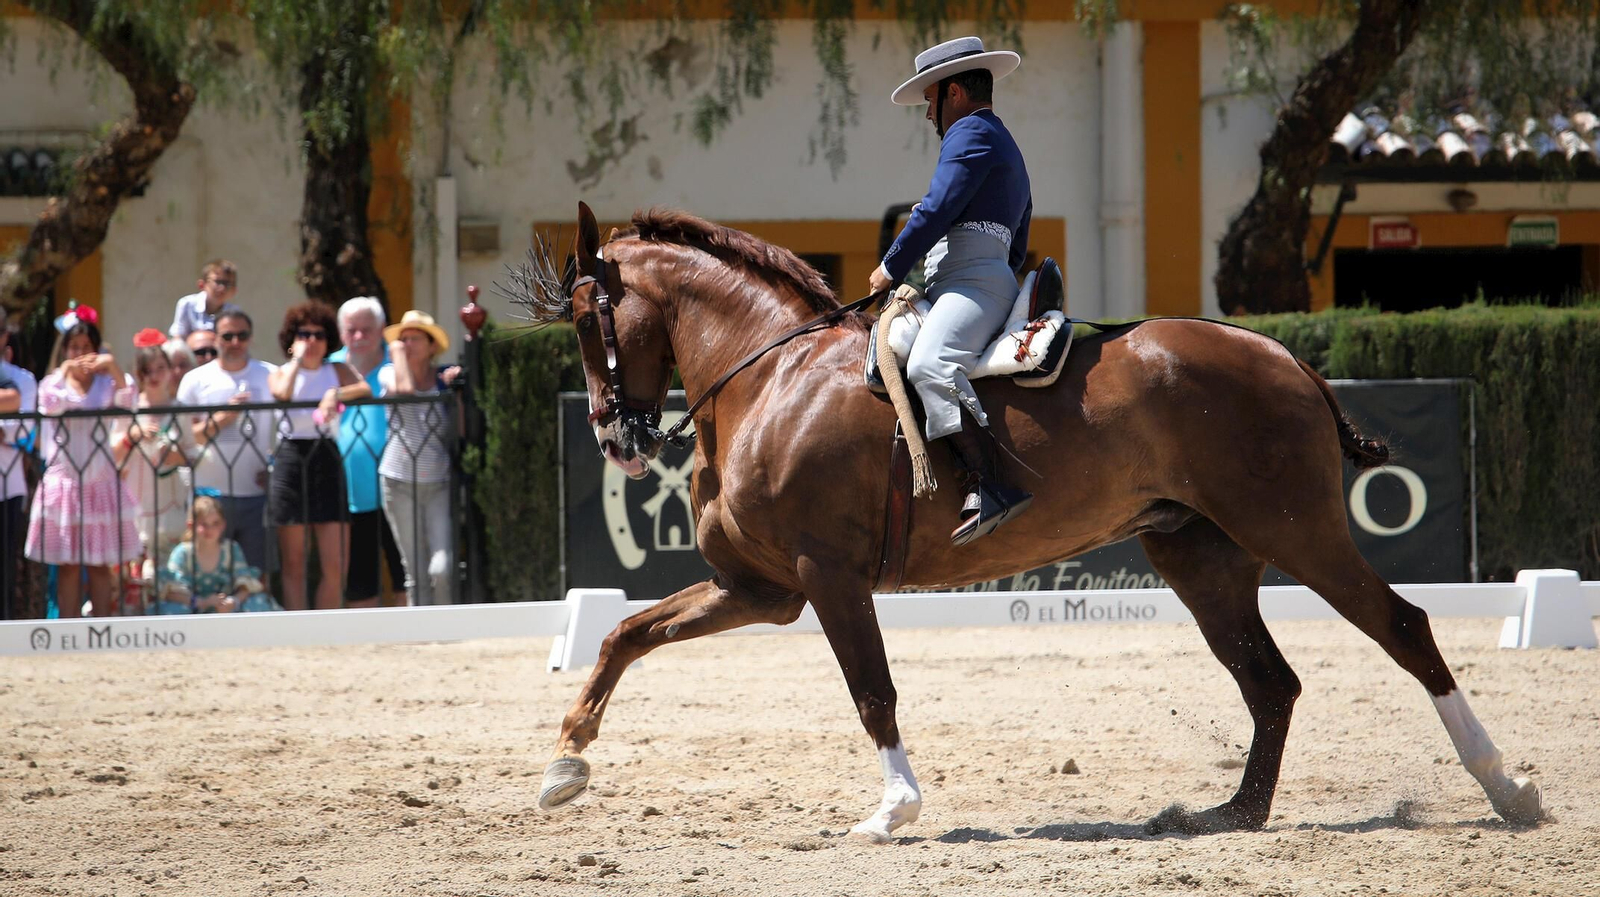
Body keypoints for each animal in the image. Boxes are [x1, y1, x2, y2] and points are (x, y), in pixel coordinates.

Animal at [515, 202, 1542, 843]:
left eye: (588, 317)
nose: (615, 438)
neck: (771, 375)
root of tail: (1282, 355)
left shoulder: (824, 577)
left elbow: (872, 691)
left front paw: (894, 810)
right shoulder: (759, 589)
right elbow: (625, 632)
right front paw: (564, 767)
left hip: (1299, 534)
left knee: (1403, 627)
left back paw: (1508, 786)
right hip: (1202, 558)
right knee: (1271, 681)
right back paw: (1230, 815)